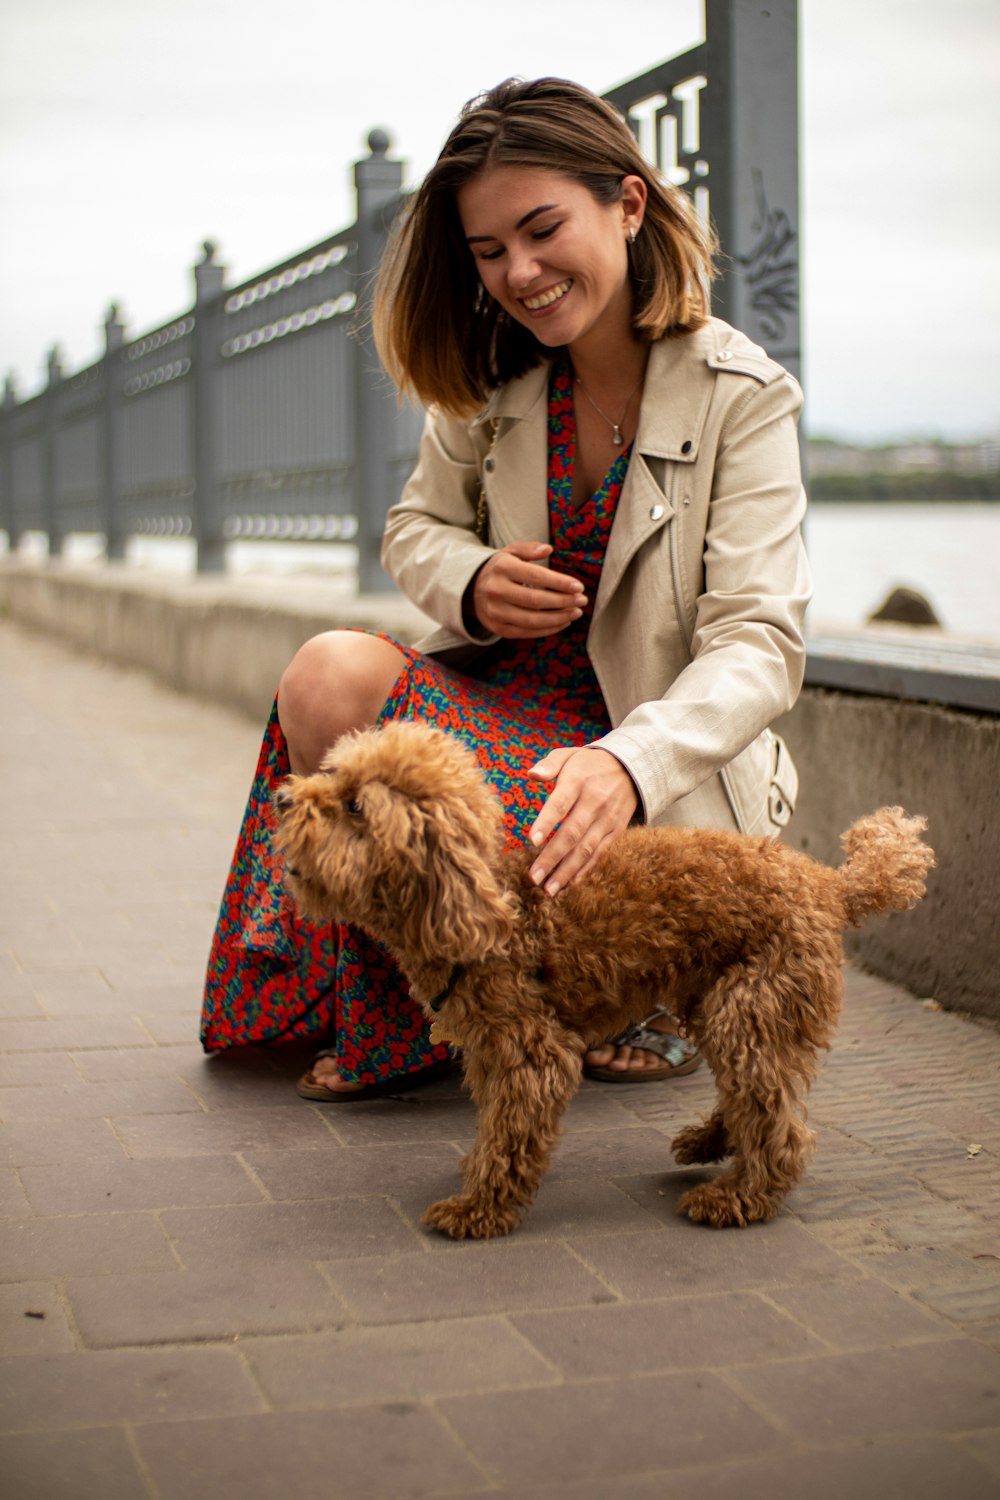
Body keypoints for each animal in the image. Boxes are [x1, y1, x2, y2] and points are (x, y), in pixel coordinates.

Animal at [271, 720, 929, 1236]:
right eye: (334, 773)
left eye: (356, 806)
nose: (282, 799)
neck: (486, 914)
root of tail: (828, 885)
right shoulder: (489, 1049)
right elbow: (495, 1124)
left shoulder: (531, 1052)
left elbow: (510, 1131)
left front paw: (479, 1208)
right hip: (718, 1002)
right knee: (752, 1092)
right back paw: (711, 1142)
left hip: (752, 1002)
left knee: (777, 1123)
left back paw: (738, 1196)